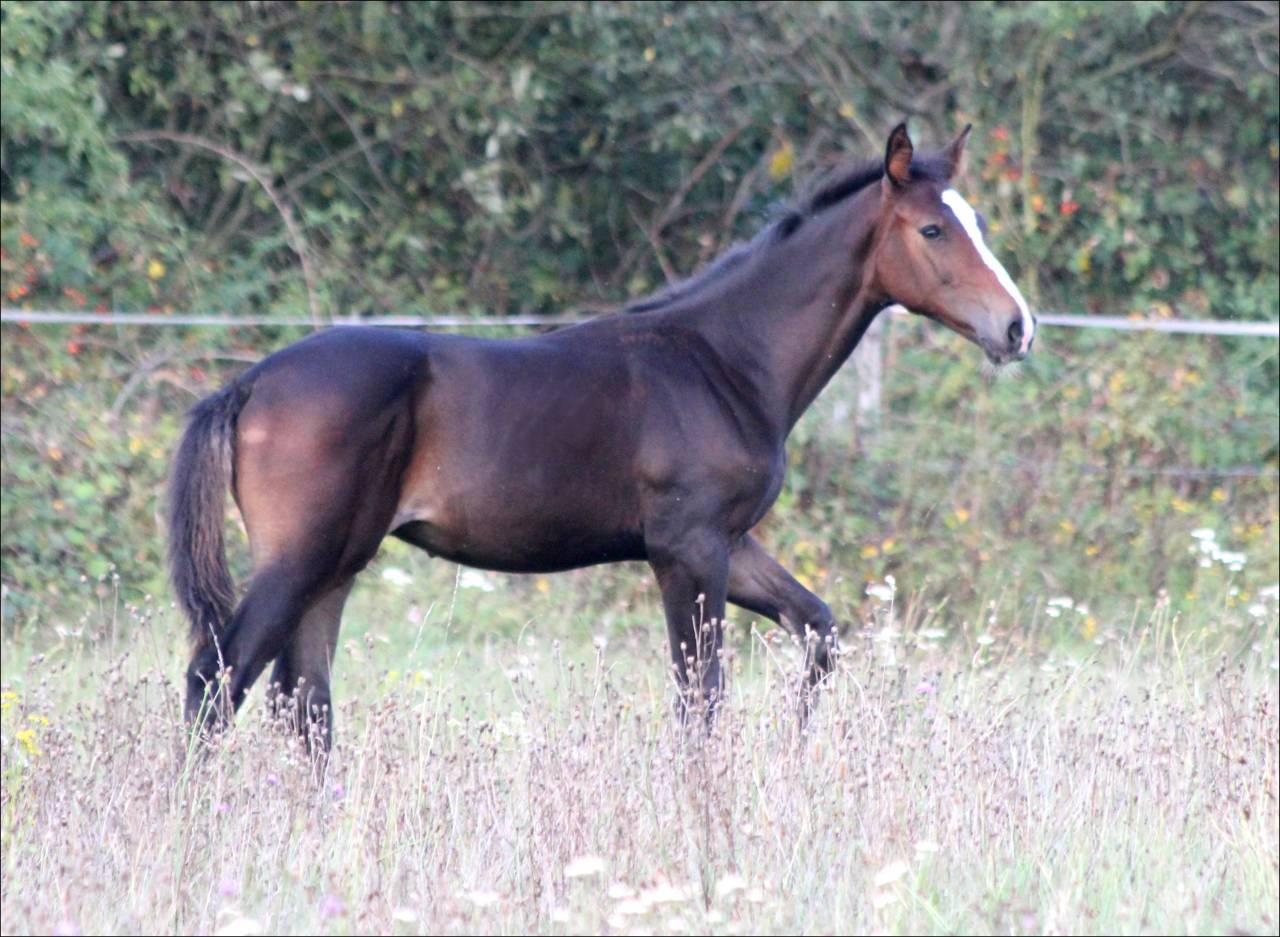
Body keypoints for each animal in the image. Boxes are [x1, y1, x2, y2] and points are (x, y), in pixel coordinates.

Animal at [169, 123, 1035, 749]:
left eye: (975, 222)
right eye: (932, 229)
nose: (1017, 327)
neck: (722, 359)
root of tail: (249, 383)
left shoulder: (732, 541)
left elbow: (817, 629)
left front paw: (796, 748)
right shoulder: (687, 548)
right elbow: (701, 699)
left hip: (337, 564)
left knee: (303, 704)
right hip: (300, 557)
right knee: (218, 681)